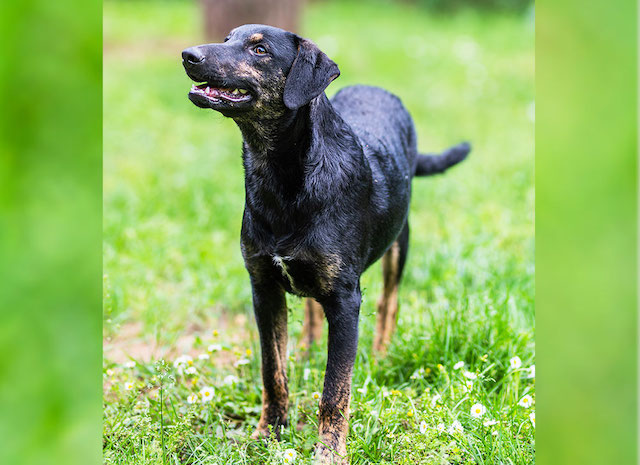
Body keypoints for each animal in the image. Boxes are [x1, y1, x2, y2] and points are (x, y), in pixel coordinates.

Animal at [182, 24, 469, 465]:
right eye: (228, 39)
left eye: (260, 50)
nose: (188, 55)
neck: (282, 177)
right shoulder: (263, 287)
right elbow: (273, 371)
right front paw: (269, 433)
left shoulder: (346, 300)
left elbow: (335, 390)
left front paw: (329, 452)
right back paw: (307, 350)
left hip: (399, 241)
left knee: (390, 302)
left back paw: (381, 356)